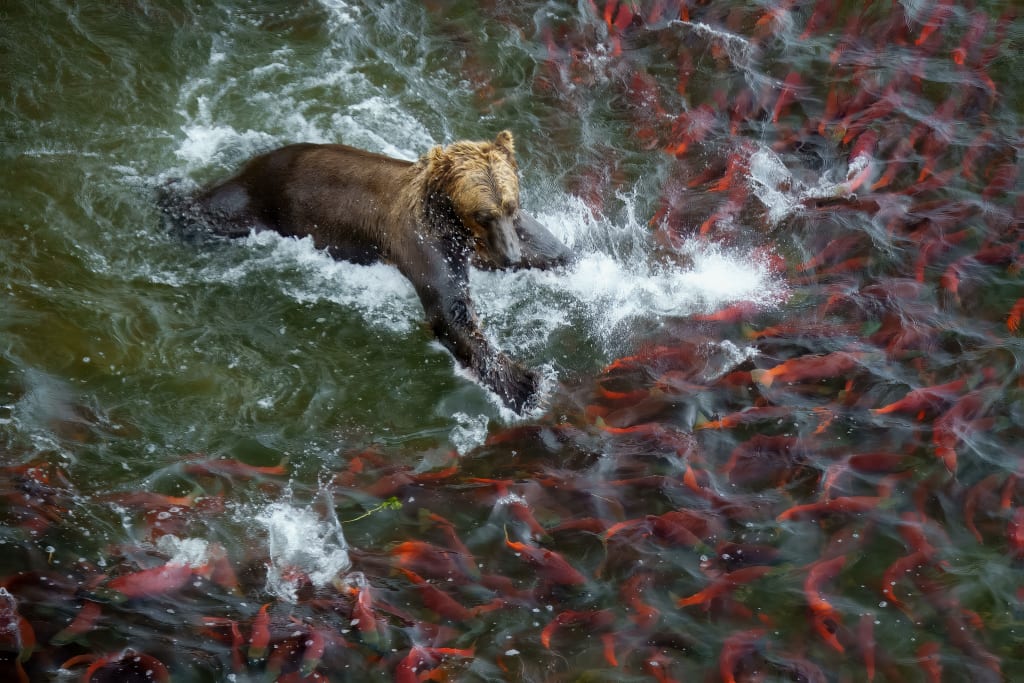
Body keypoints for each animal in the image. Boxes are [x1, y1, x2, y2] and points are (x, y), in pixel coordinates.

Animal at [159, 131, 571, 413]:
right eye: (482, 213)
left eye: (510, 205)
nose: (510, 257)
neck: (457, 227)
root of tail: (258, 161)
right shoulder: (424, 244)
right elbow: (450, 310)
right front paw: (524, 383)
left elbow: (550, 250)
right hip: (259, 201)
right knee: (212, 210)